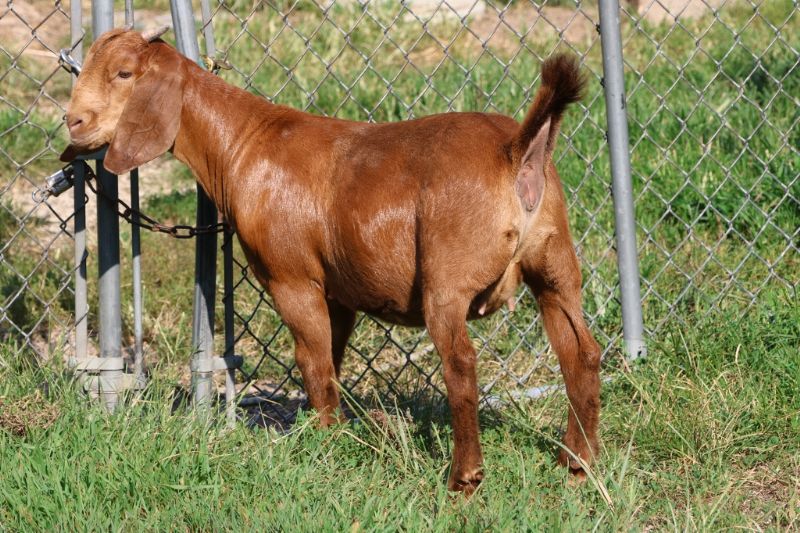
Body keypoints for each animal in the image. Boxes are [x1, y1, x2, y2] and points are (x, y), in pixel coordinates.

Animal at [62, 27, 602, 495]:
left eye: (125, 73)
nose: (73, 122)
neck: (243, 143)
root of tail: (516, 152)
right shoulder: (340, 292)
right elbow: (332, 360)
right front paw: (331, 429)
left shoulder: (292, 278)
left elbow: (313, 359)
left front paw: (323, 441)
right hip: (554, 261)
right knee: (580, 350)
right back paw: (577, 463)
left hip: (447, 277)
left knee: (462, 364)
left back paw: (463, 478)